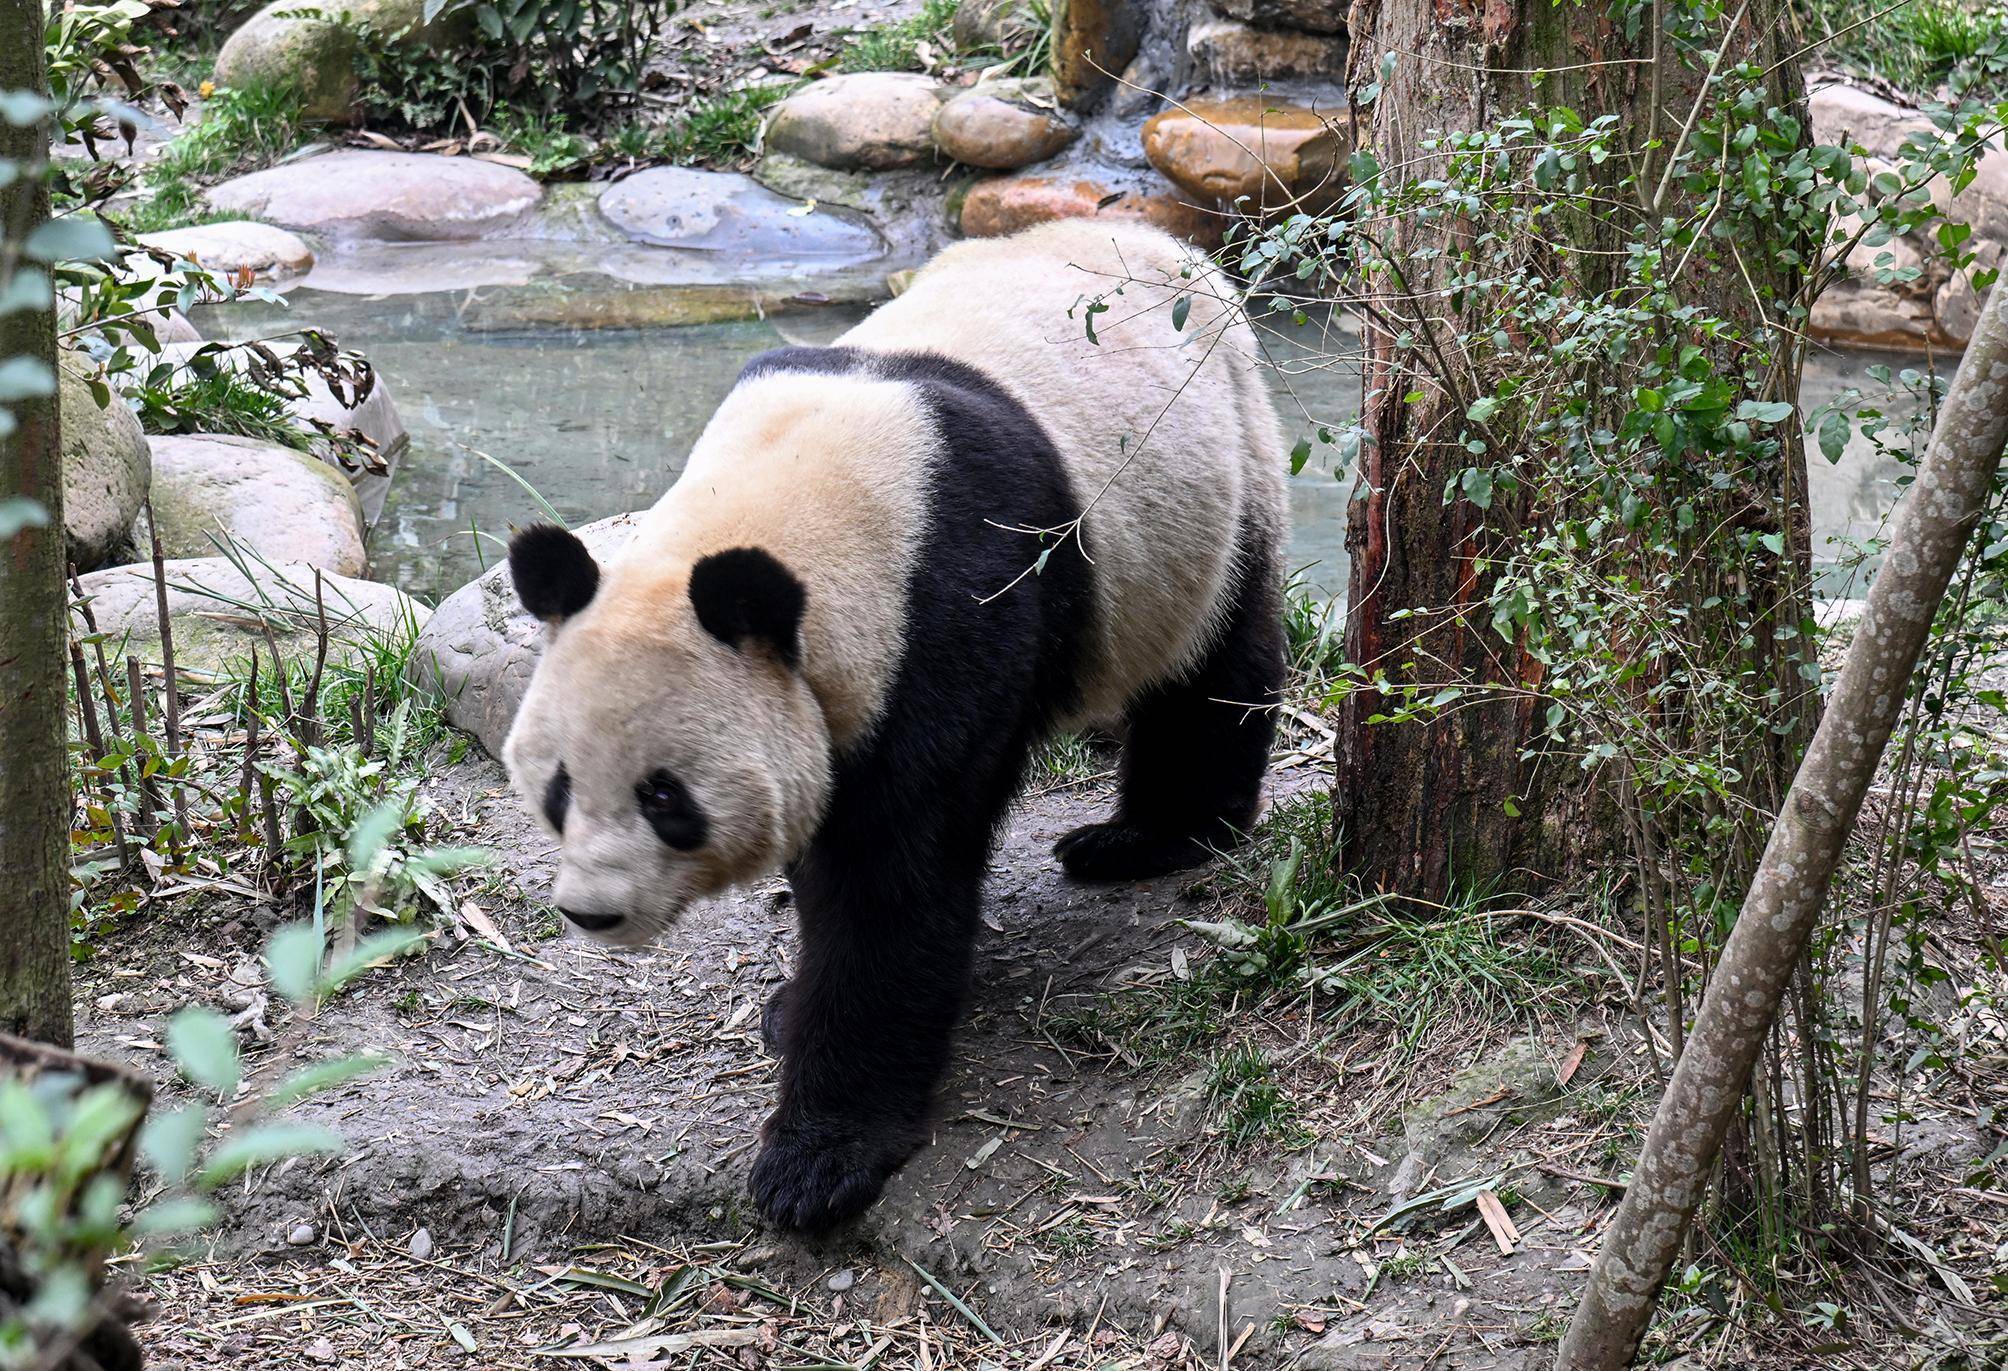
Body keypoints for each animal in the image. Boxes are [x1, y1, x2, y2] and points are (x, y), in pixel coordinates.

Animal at [501, 216, 1285, 1236]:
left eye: (665, 796)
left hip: (1213, 471)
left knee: (1213, 660)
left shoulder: (953, 609)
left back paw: (1151, 836)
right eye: (558, 788)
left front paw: (817, 1159)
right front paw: (788, 1007)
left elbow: (892, 885)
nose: (592, 912)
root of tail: (1151, 235)